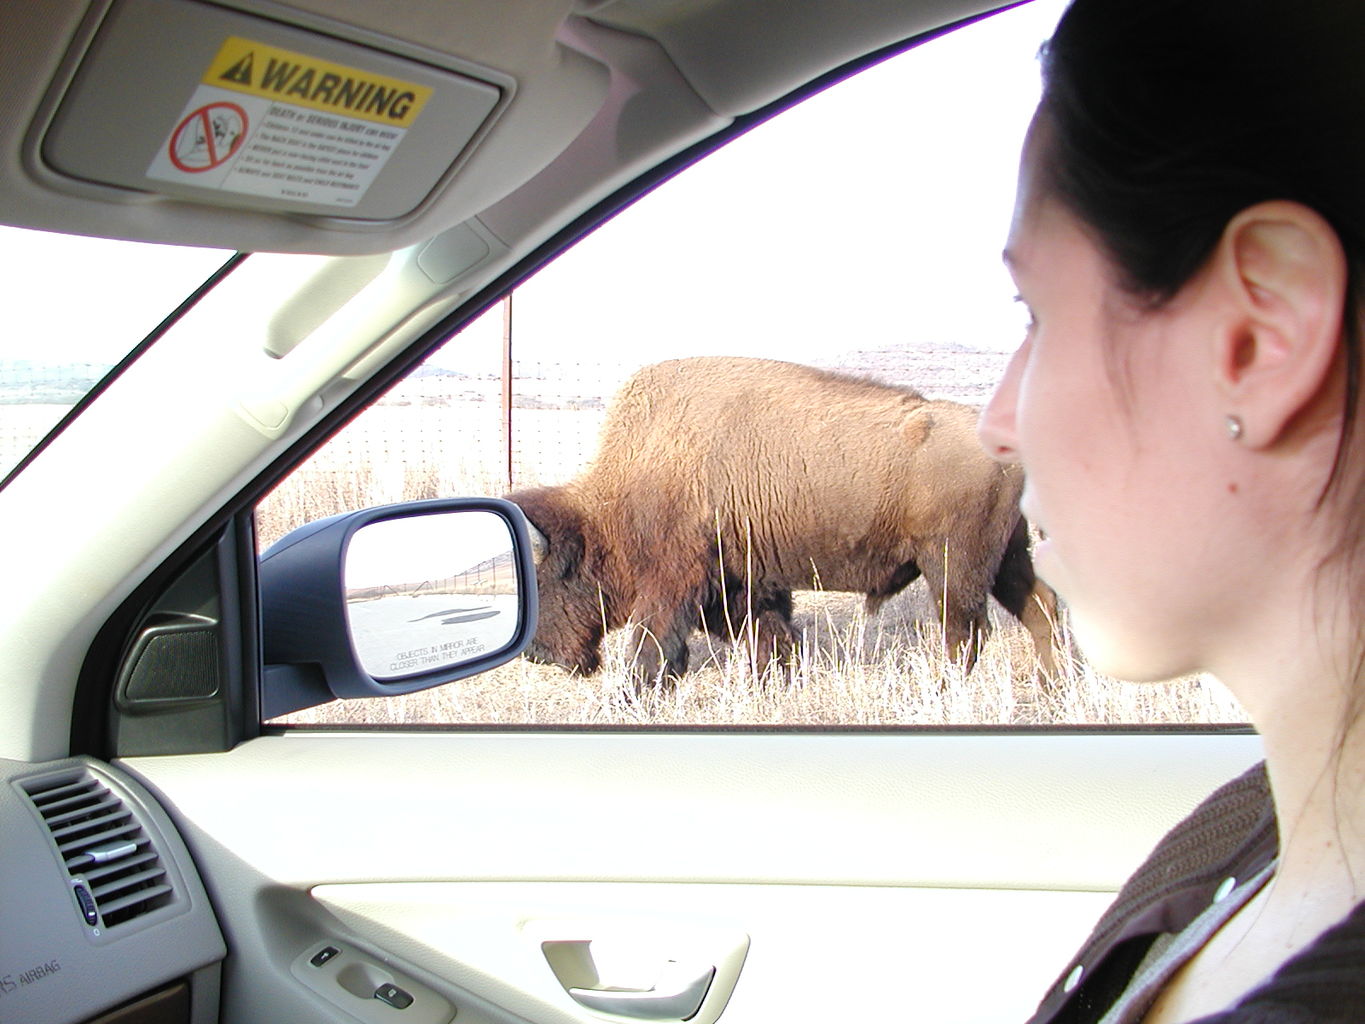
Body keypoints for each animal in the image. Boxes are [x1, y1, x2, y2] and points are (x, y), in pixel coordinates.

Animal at [510, 357, 1053, 685]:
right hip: (1006, 556)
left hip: (953, 567)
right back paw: (1055, 683)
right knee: (1039, 609)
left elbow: (654, 647)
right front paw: (776, 682)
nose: (538, 653)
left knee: (965, 632)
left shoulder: (673, 582)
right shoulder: (747, 584)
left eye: (547, 580)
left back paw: (946, 689)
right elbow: (772, 636)